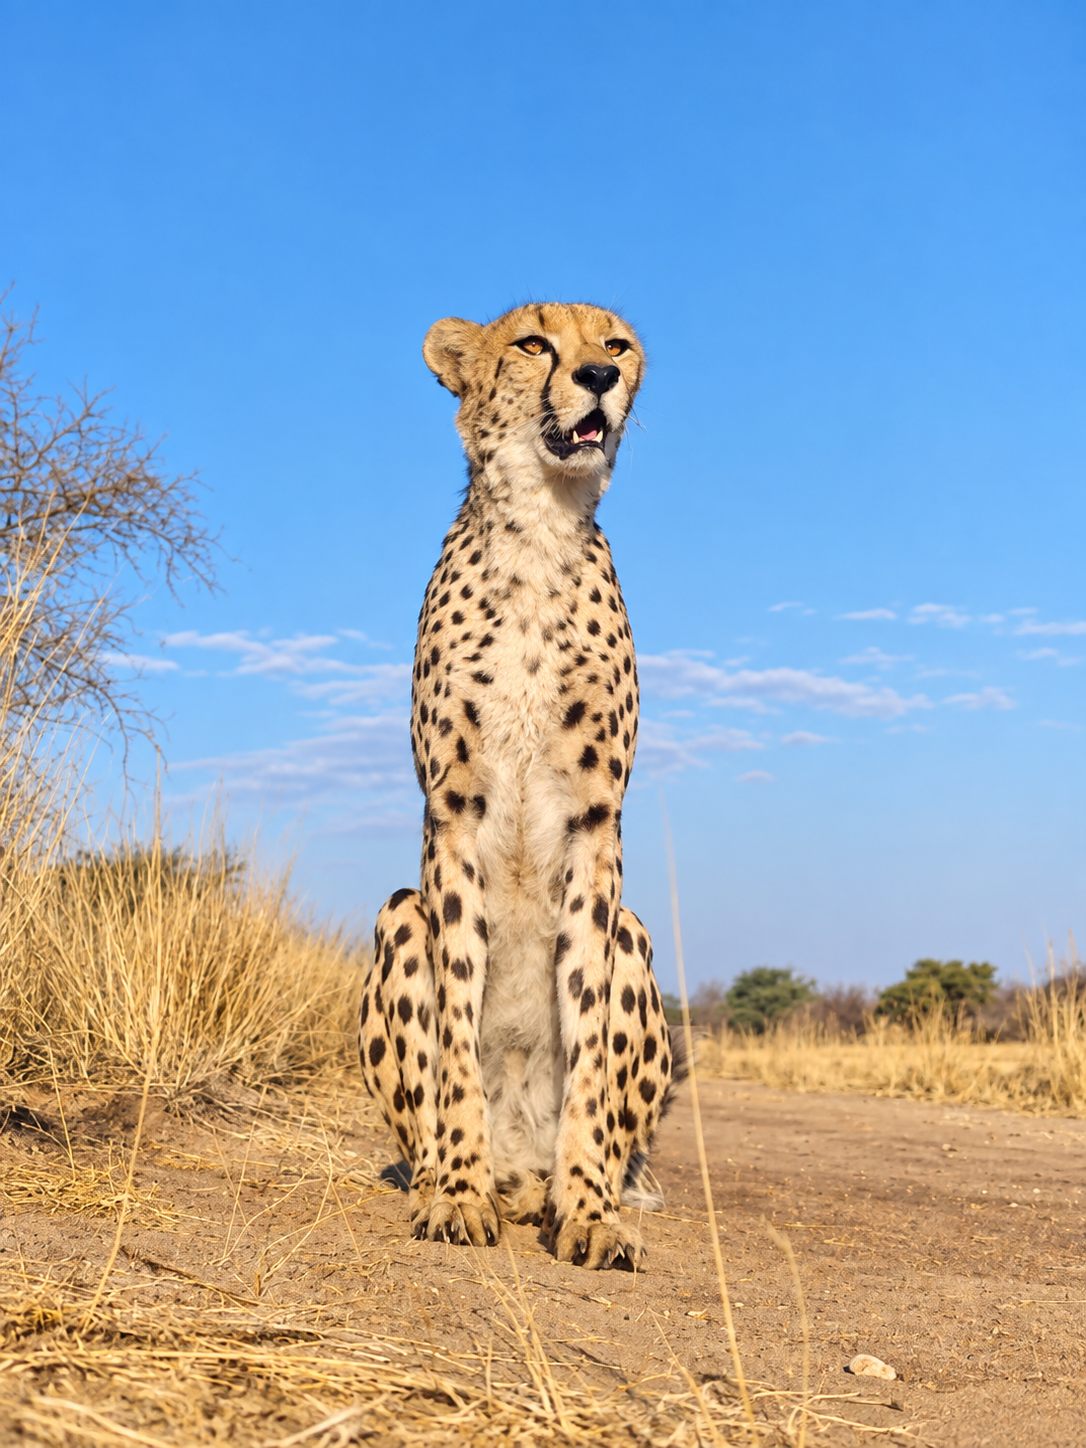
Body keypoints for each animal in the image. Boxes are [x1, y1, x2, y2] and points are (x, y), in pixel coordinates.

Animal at [359, 302, 684, 1270]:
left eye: (616, 346)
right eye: (534, 344)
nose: (598, 379)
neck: (542, 525)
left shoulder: (596, 822)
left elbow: (589, 1048)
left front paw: (586, 1210)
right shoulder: (454, 811)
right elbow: (458, 1034)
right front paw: (459, 1197)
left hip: (638, 935)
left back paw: (558, 1187)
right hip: (398, 914)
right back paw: (460, 1178)